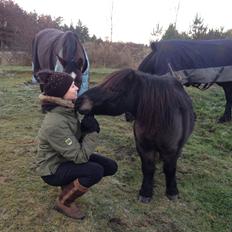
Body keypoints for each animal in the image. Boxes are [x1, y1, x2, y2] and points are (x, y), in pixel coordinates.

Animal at [75, 69, 195, 203]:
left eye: (113, 89)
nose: (79, 101)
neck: (160, 119)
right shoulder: (144, 148)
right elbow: (148, 168)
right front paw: (146, 192)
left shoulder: (171, 150)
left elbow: (170, 169)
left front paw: (172, 192)